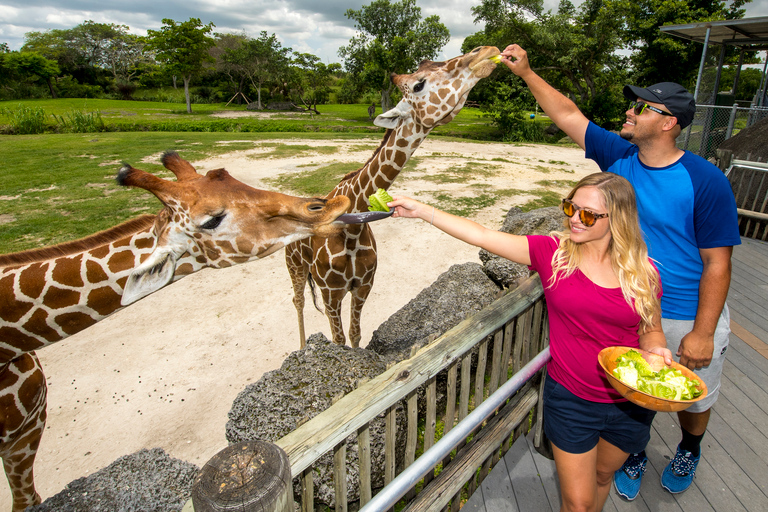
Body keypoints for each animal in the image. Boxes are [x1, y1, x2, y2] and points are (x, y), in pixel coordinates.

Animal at [284, 46, 500, 348]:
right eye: (418, 85)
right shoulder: (331, 292)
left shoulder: (363, 286)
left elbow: (355, 334)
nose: (487, 51)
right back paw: (303, 347)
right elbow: (338, 340)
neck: (351, 231)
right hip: (295, 265)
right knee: (298, 301)